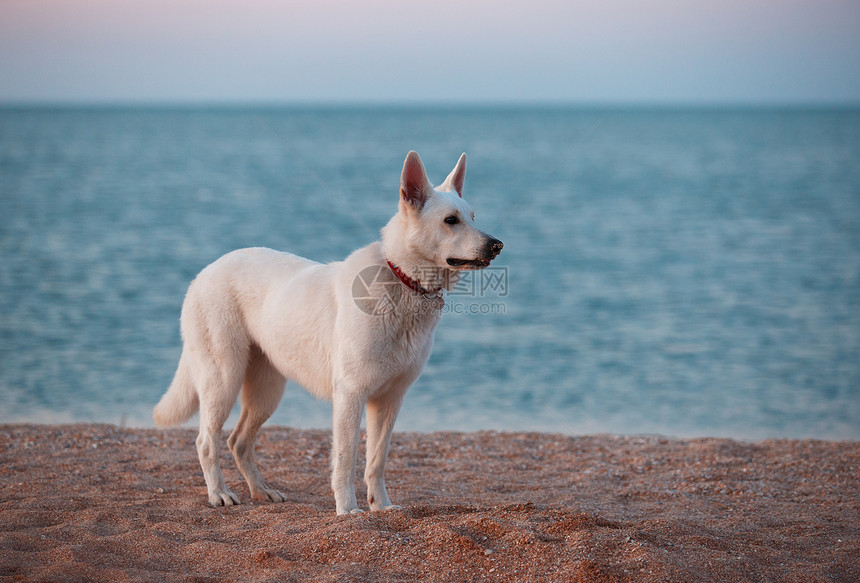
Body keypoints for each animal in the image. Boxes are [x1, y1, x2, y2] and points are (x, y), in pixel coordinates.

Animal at [155, 152, 504, 516]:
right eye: (451, 220)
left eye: (472, 217)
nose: (497, 245)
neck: (403, 282)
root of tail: (204, 272)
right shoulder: (350, 395)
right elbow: (346, 460)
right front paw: (348, 510)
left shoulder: (390, 400)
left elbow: (377, 461)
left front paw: (381, 506)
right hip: (223, 380)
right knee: (206, 441)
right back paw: (219, 494)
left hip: (267, 391)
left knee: (238, 442)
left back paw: (261, 491)